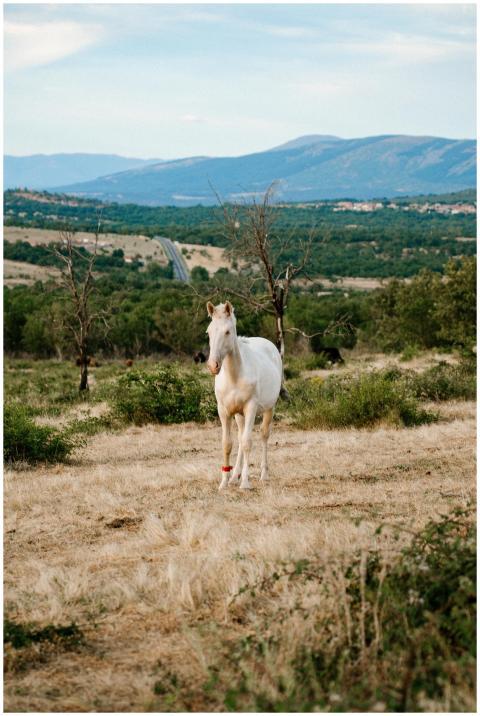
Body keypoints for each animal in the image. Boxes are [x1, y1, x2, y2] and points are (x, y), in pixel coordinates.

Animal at [206, 300, 282, 490]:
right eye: (209, 332)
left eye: (227, 331)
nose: (213, 365)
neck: (235, 376)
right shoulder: (224, 411)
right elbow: (227, 444)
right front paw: (224, 482)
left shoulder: (250, 408)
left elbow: (248, 443)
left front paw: (246, 483)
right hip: (239, 415)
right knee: (240, 438)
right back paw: (235, 477)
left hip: (269, 408)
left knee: (263, 435)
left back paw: (263, 475)